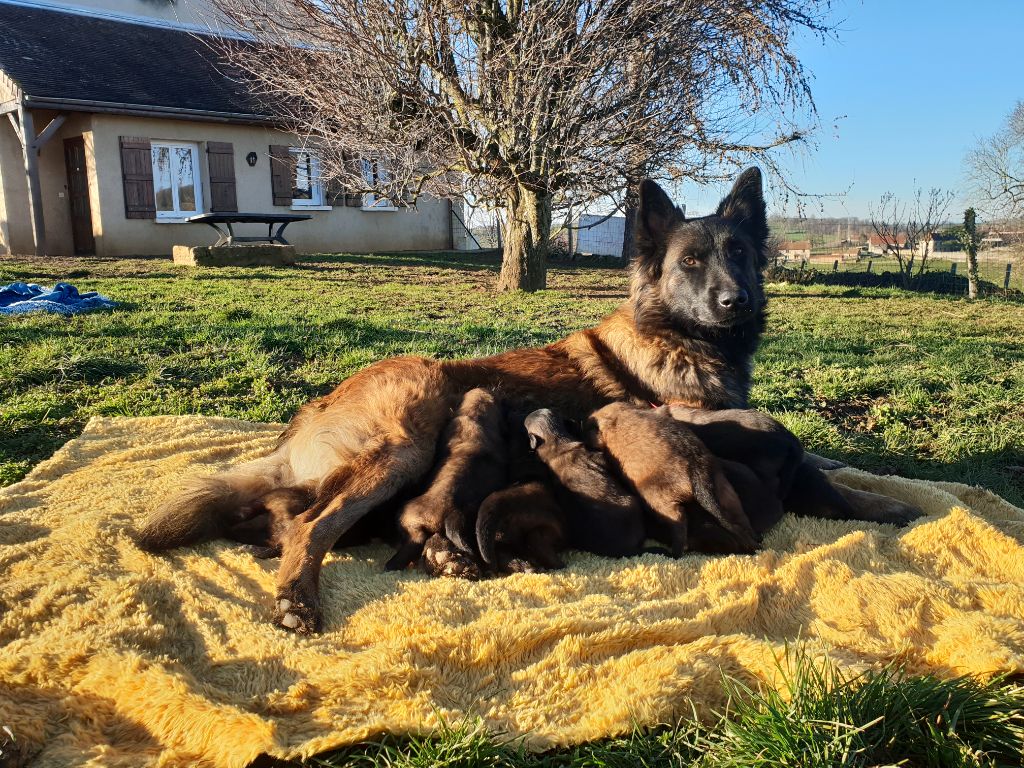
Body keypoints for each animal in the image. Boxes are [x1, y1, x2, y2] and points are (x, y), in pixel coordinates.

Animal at [585, 399, 753, 557]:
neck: (619, 413)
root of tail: (697, 469)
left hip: (658, 499)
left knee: (678, 519)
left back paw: (676, 551)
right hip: (724, 489)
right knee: (739, 518)